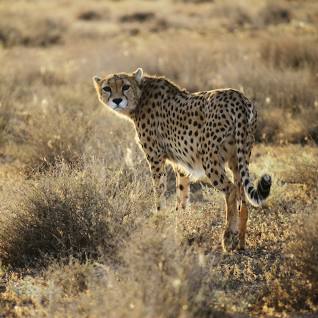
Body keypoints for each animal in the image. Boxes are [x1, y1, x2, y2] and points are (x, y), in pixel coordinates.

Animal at [92, 68, 270, 252]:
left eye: (125, 86)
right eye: (107, 88)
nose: (117, 100)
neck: (140, 97)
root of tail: (239, 96)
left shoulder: (155, 157)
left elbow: (159, 191)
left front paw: (160, 221)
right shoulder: (181, 163)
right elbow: (182, 194)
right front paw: (179, 223)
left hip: (210, 158)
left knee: (232, 189)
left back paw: (228, 237)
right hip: (238, 157)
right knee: (243, 197)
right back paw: (240, 241)